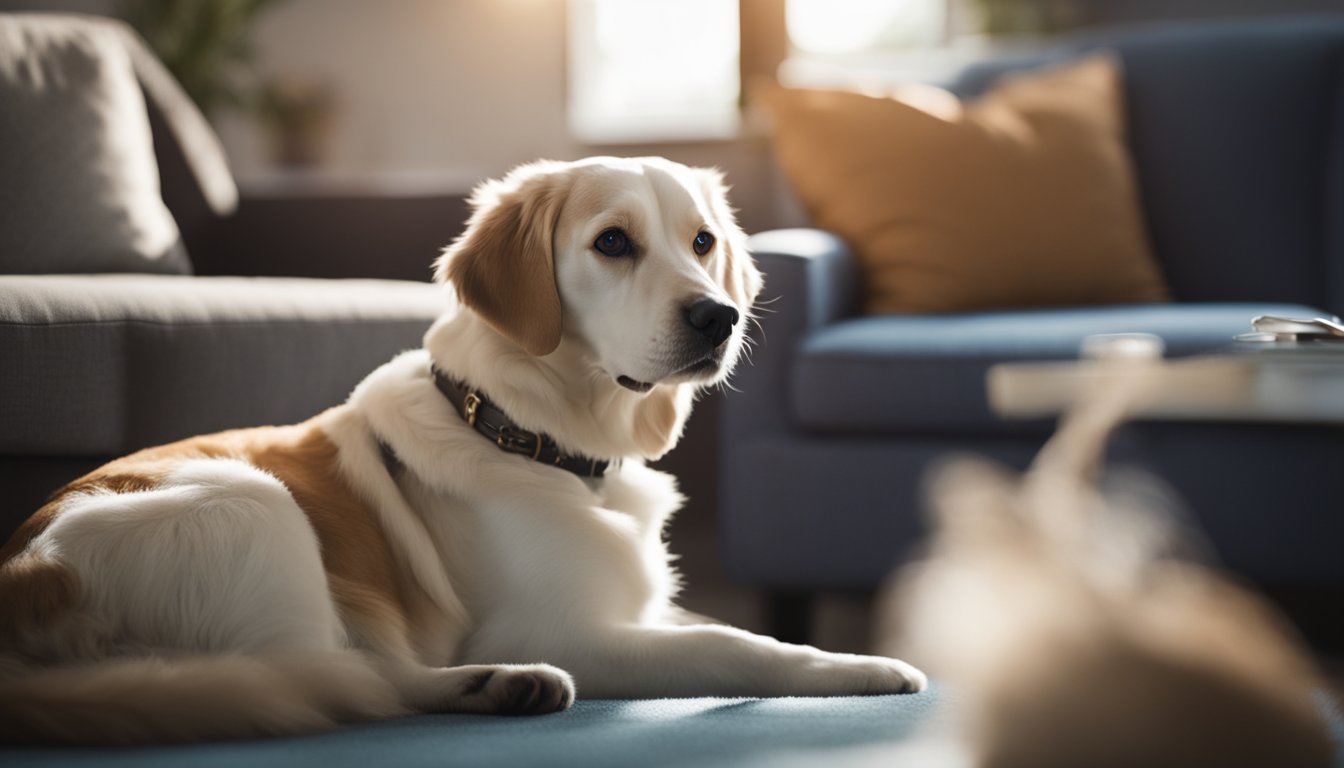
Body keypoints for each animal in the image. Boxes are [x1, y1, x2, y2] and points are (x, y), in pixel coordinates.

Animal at [0, 158, 924, 747]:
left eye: (702, 242)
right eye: (612, 242)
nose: (718, 317)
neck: (532, 438)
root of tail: (30, 573)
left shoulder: (636, 609)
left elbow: (721, 622)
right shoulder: (564, 626)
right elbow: (739, 646)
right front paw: (866, 665)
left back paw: (504, 685)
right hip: (251, 501)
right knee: (343, 684)